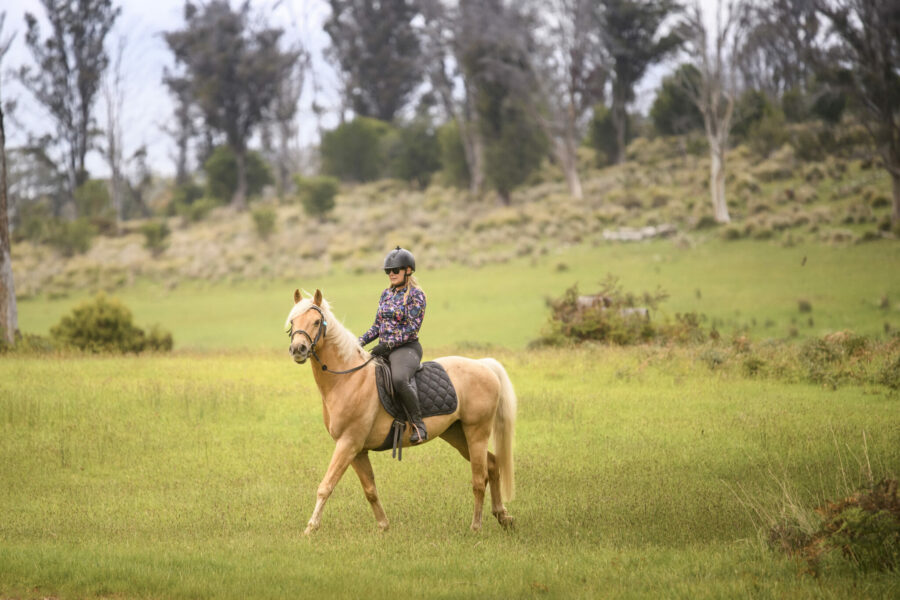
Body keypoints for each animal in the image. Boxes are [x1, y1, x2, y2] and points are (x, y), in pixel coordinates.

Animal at [285, 288, 516, 534]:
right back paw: (503, 516)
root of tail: (483, 365)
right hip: (456, 433)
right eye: (293, 321)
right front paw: (384, 527)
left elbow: (326, 485)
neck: (348, 378)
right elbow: (370, 490)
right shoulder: (357, 451)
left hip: (476, 432)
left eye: (316, 321)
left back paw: (476, 526)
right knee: (493, 465)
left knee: (479, 479)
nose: (298, 349)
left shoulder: (348, 443)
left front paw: (310, 529)